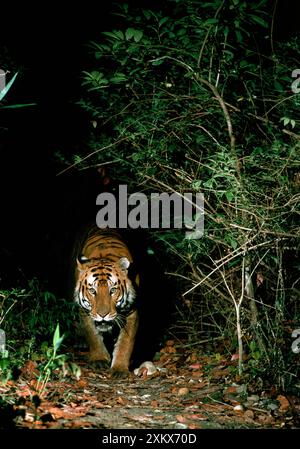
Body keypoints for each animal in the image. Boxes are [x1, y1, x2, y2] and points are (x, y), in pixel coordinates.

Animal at [73, 226, 139, 376]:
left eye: (113, 290)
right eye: (92, 291)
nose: (103, 315)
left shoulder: (132, 311)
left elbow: (125, 343)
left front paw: (119, 368)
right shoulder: (85, 312)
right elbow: (93, 336)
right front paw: (99, 359)